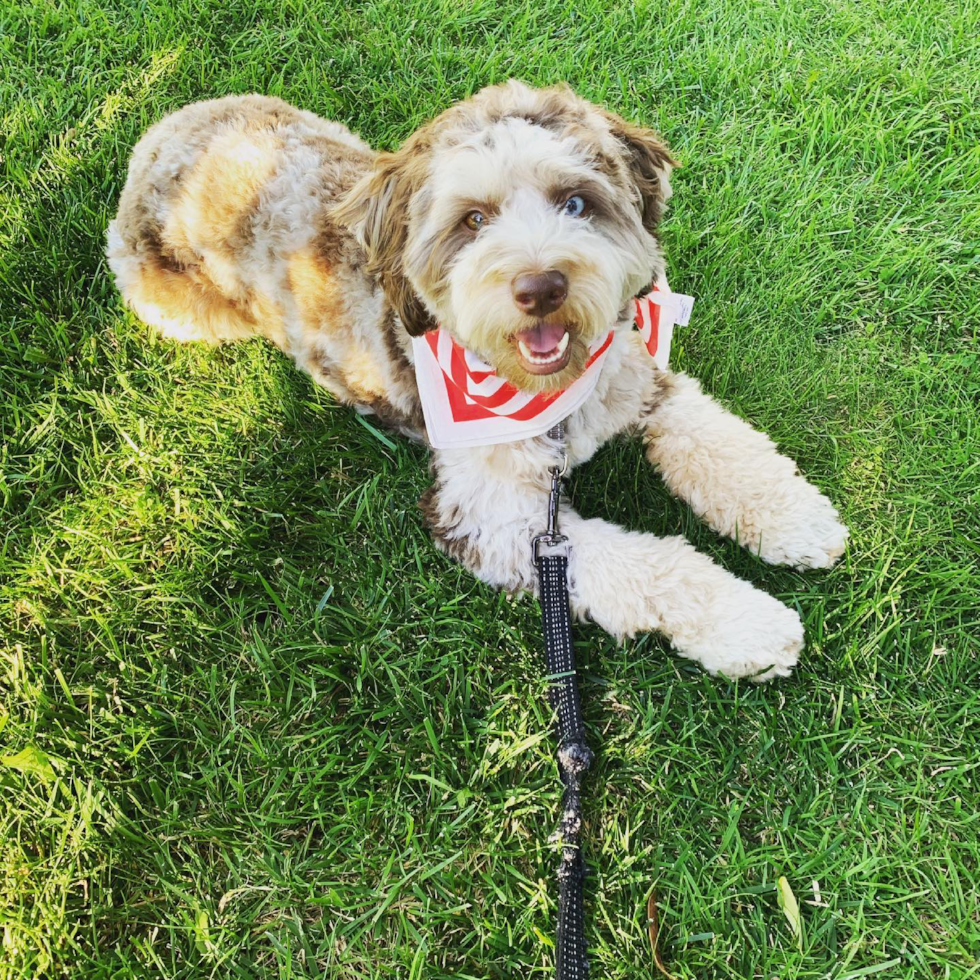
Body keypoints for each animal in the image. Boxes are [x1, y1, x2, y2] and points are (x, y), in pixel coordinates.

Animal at [105, 80, 844, 680]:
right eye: (473, 220)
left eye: (577, 203)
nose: (541, 286)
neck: (548, 395)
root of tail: (165, 131)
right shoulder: (492, 516)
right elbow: (649, 566)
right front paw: (749, 625)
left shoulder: (639, 382)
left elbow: (722, 445)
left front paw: (797, 519)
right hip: (175, 307)